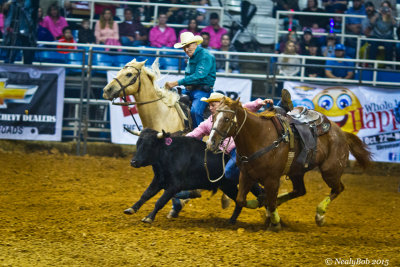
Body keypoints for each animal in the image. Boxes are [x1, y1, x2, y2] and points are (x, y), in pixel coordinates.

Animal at [206, 98, 372, 232]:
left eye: (227, 118)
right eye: (213, 117)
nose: (211, 142)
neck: (260, 137)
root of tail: (342, 133)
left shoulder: (272, 179)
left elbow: (270, 202)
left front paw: (275, 223)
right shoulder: (245, 174)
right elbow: (241, 199)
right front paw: (260, 203)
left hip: (330, 171)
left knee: (338, 188)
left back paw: (320, 215)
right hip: (296, 173)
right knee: (300, 191)